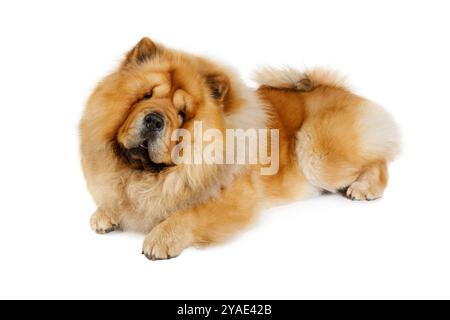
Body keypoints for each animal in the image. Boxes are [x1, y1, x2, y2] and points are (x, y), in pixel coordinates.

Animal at [79, 37, 400, 260]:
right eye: (145, 96)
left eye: (182, 114)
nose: (155, 119)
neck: (146, 174)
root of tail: (341, 90)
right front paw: (105, 213)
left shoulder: (234, 200)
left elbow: (189, 215)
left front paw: (160, 238)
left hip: (318, 155)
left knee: (380, 161)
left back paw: (364, 188)